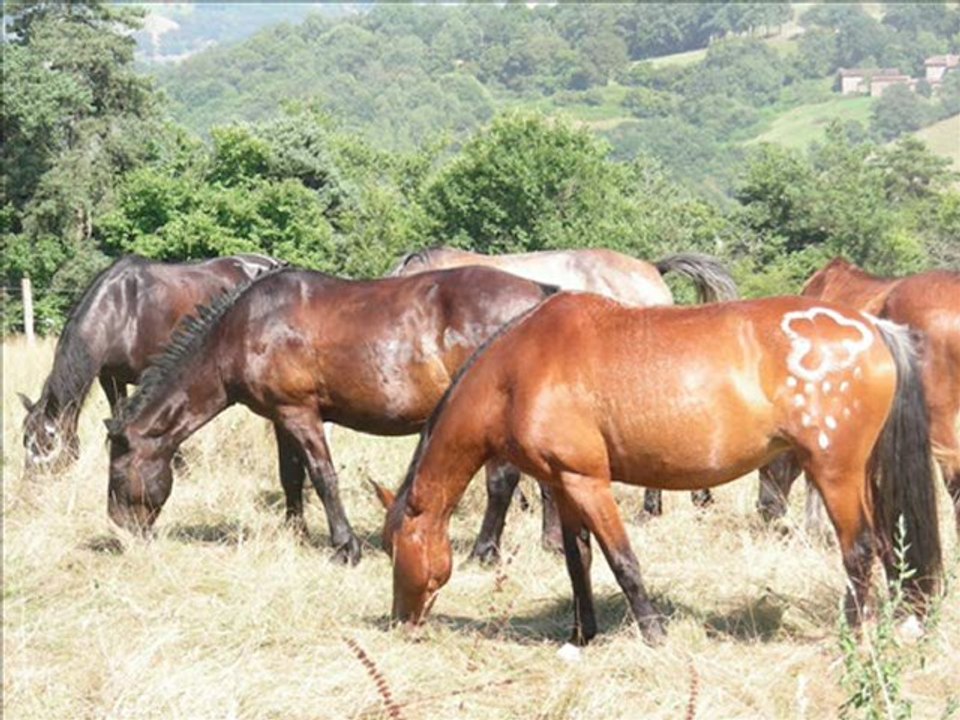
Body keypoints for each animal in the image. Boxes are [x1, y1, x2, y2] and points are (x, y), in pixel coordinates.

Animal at [18, 254, 284, 474]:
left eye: (47, 440)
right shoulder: (110, 377)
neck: (121, 310)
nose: (32, 478)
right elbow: (119, 411)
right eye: (25, 438)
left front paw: (177, 464)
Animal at [103, 266, 558, 565]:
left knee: (502, 482)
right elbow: (291, 475)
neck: (242, 329)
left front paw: (345, 547)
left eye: (116, 474)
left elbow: (322, 477)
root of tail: (539, 296)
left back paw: (485, 552)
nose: (122, 533)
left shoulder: (299, 413)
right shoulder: (280, 418)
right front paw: (297, 532)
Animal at [374, 293, 942, 646]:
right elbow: (578, 560)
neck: (517, 371)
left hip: (834, 471)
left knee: (860, 549)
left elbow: (623, 561)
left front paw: (652, 633)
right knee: (887, 544)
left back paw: (855, 632)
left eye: (393, 548)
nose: (401, 621)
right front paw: (581, 634)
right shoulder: (563, 483)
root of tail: (874, 328)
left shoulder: (589, 482)